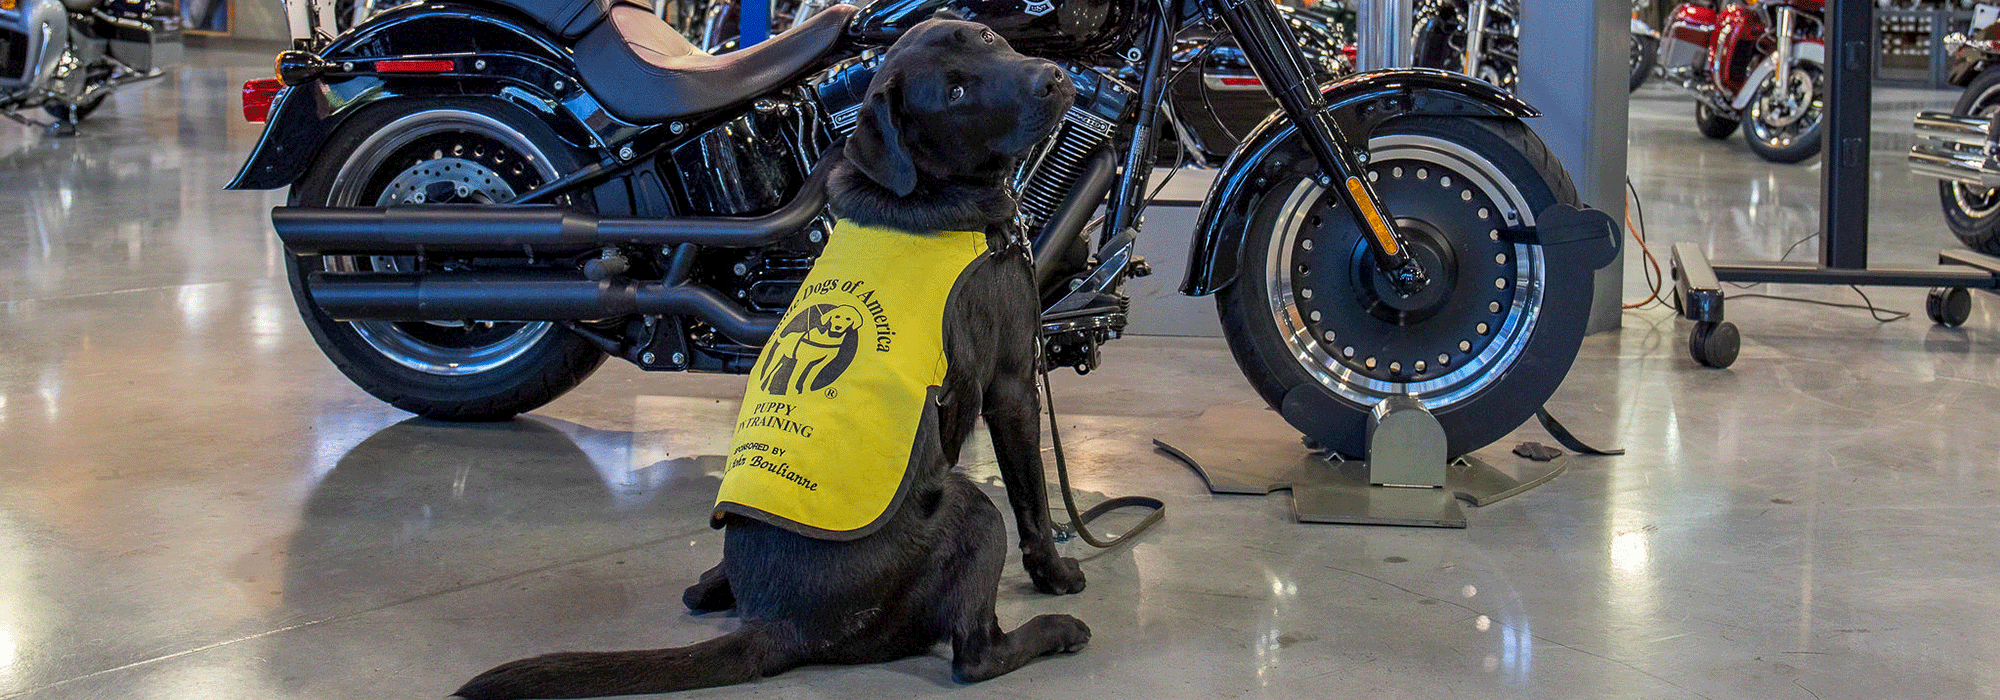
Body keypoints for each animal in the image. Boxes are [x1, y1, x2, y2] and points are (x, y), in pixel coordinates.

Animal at [452, 19, 1088, 696]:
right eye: (956, 94)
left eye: (988, 38)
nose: (1051, 77)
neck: (930, 191)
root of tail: (780, 623)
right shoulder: (1014, 383)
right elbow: (1033, 495)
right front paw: (1056, 573)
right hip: (968, 508)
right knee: (974, 653)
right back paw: (1056, 631)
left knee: (697, 591)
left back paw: (712, 586)